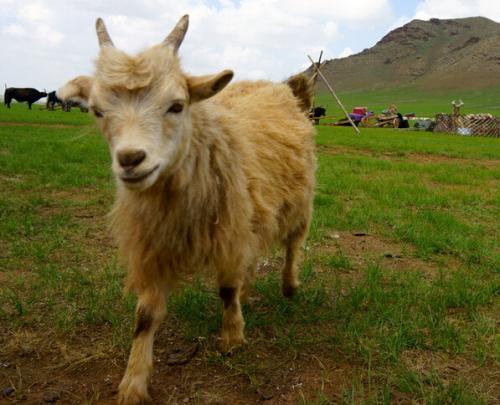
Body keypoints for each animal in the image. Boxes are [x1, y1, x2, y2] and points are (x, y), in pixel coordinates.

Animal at [58, 14, 316, 402]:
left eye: (177, 105)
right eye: (97, 110)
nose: (130, 159)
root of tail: (280, 89)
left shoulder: (229, 231)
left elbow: (226, 288)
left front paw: (232, 337)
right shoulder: (153, 245)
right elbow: (145, 315)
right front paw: (133, 382)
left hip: (299, 202)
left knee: (293, 244)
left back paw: (289, 285)